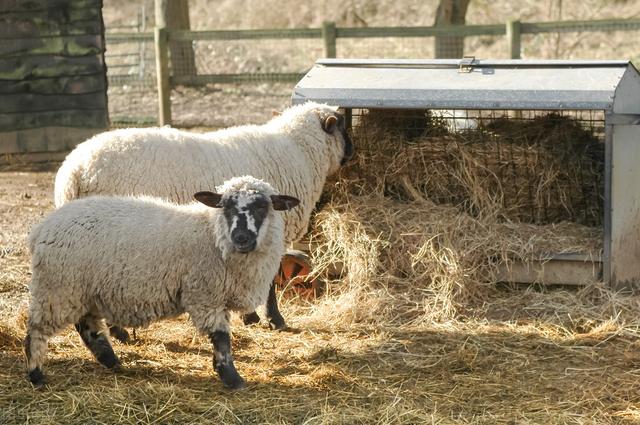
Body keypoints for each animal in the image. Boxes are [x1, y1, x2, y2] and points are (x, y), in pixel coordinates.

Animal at [26, 175, 302, 388]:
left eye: (262, 206)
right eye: (225, 206)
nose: (241, 237)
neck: (212, 234)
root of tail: (42, 228)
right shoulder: (205, 295)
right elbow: (222, 339)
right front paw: (232, 379)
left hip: (84, 289)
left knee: (88, 328)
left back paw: (113, 362)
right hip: (58, 287)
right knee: (37, 331)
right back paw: (36, 375)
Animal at [53, 101, 356, 330]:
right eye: (343, 125)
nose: (354, 153)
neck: (299, 151)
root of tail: (75, 171)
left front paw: (250, 317)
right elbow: (268, 282)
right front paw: (273, 319)